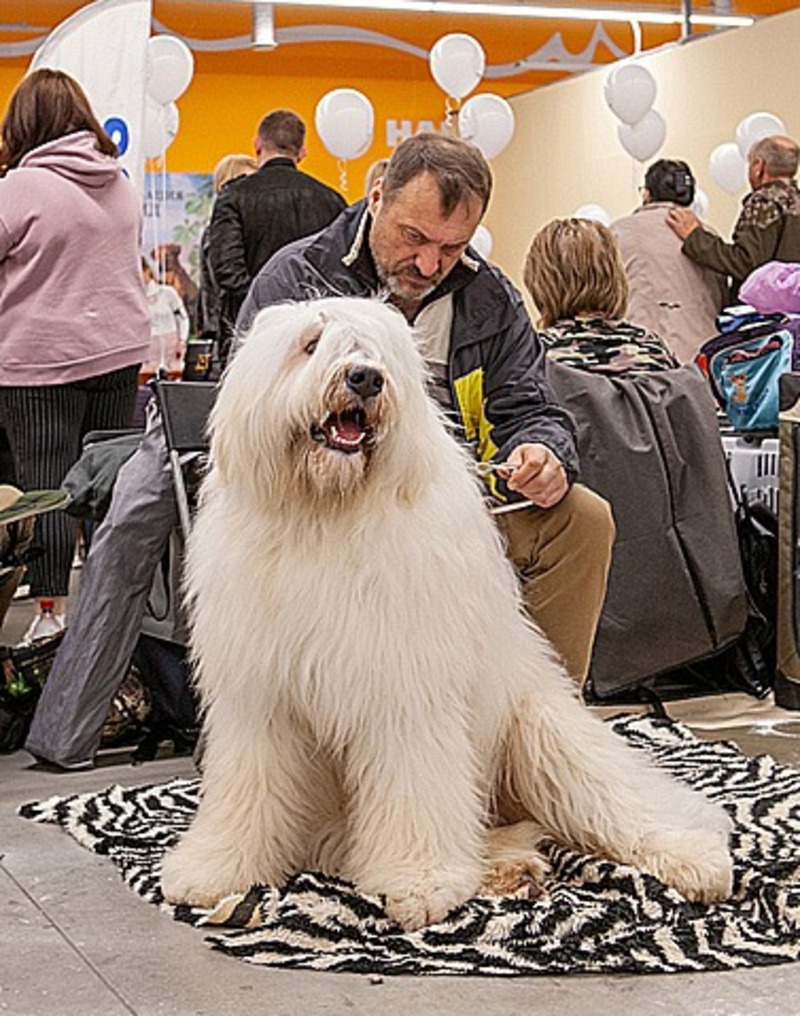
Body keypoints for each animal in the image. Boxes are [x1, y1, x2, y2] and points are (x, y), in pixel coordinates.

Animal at [159, 294, 735, 930]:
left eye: (378, 353)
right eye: (311, 344)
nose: (364, 378)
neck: (325, 512)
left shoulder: (405, 694)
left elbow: (415, 788)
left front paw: (421, 881)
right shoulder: (260, 702)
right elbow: (248, 792)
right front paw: (216, 867)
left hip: (542, 737)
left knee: (623, 805)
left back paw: (695, 859)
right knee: (511, 830)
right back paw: (511, 869)